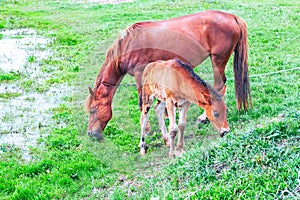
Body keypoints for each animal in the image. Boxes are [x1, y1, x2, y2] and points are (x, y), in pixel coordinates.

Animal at [85, 10, 251, 140]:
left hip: (218, 59)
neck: (130, 44)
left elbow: (142, 102)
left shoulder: (140, 74)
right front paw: (165, 115)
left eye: (93, 110)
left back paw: (204, 117)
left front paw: (146, 128)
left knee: (218, 86)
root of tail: (231, 17)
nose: (91, 134)